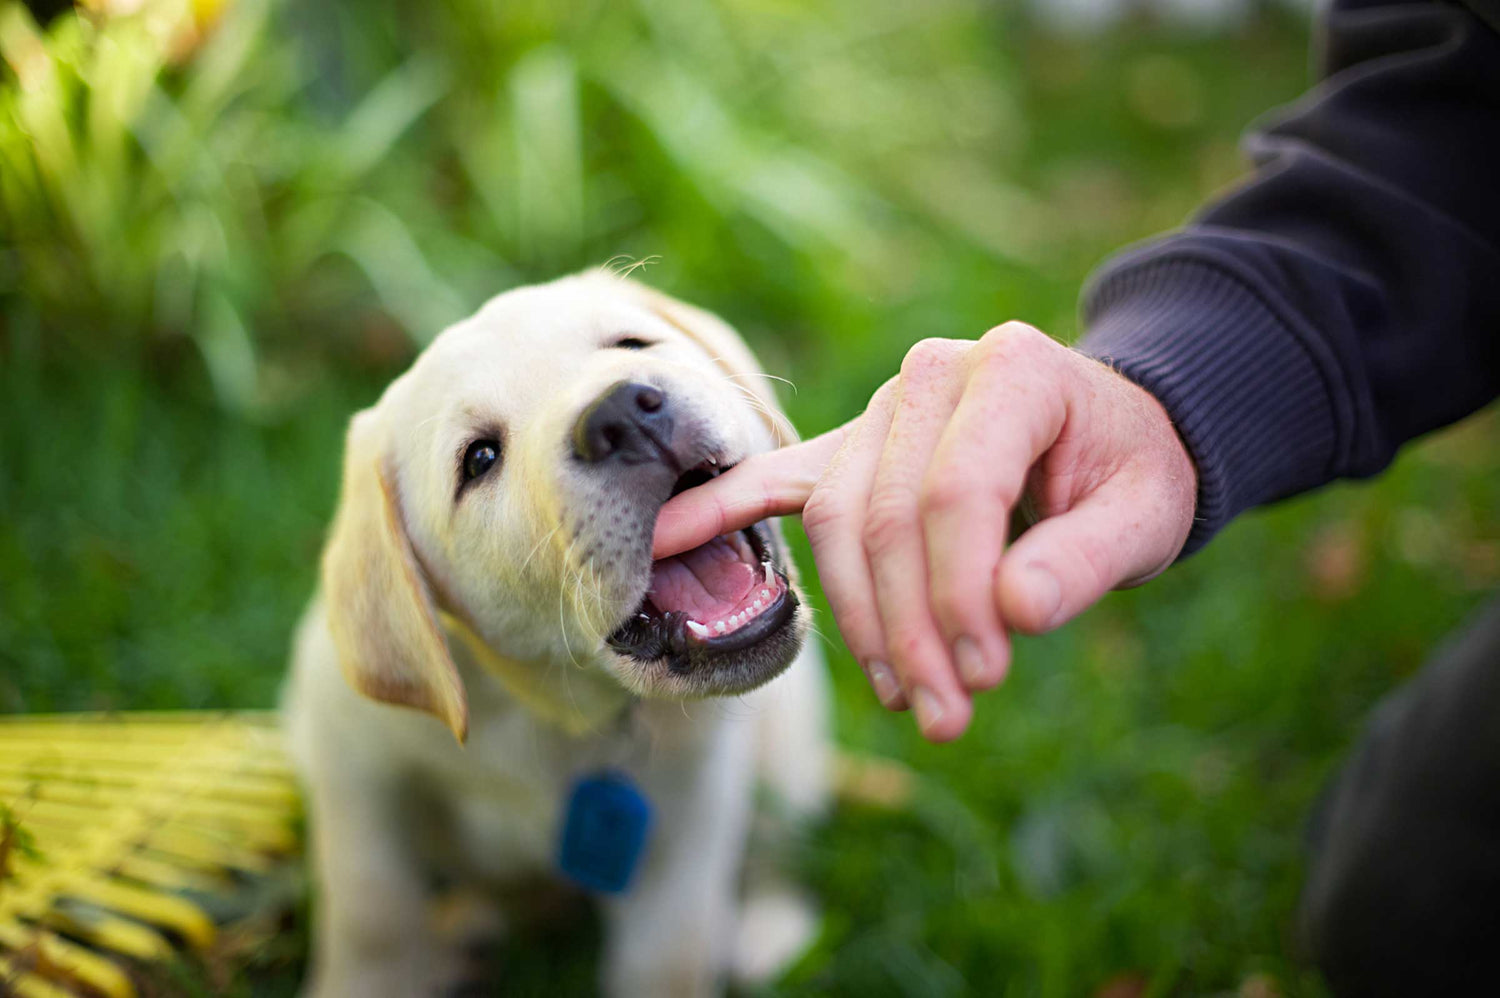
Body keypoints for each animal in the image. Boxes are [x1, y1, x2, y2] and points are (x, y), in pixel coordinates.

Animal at [283, 270, 834, 996]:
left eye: (631, 344)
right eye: (480, 458)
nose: (623, 413)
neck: (553, 713)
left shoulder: (694, 805)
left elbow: (668, 955)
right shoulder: (351, 768)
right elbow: (371, 911)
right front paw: (368, 980)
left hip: (790, 738)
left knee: (781, 840)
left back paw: (772, 931)